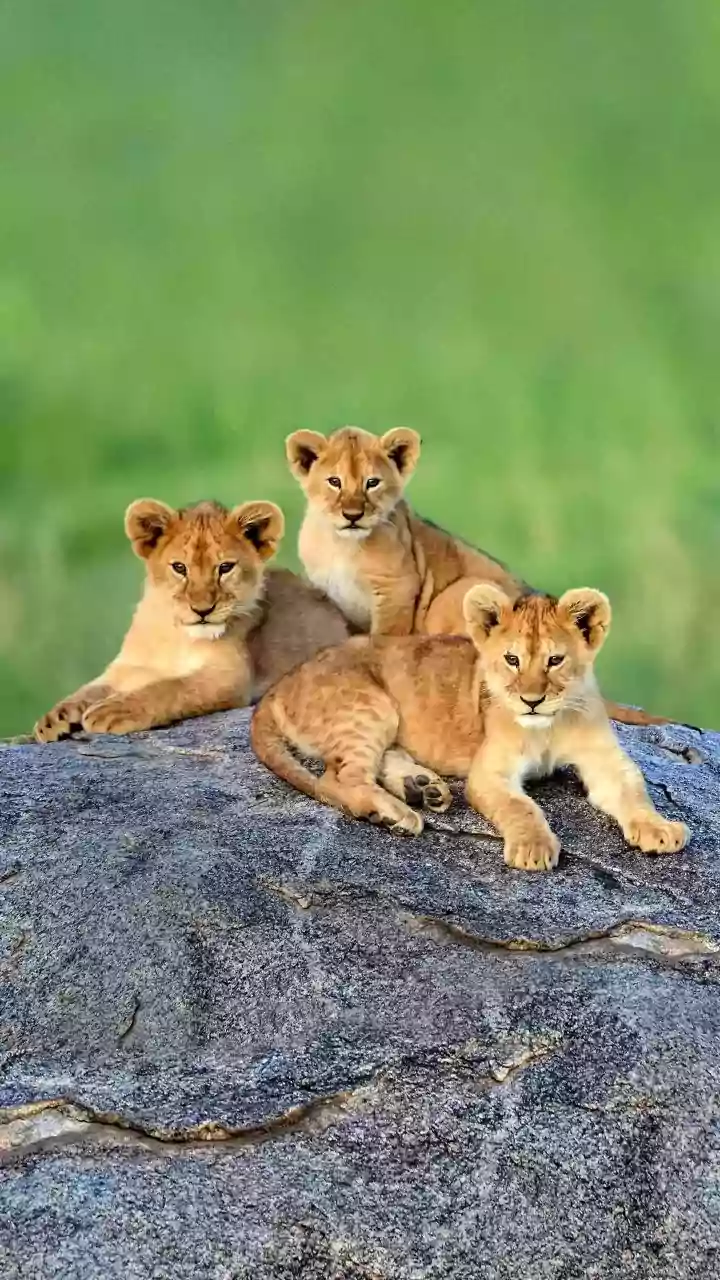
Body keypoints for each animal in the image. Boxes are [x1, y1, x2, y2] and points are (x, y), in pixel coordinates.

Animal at [34, 498, 350, 742]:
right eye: (179, 567)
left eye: (225, 568)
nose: (203, 610)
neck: (176, 636)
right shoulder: (128, 668)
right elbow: (90, 689)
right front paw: (53, 719)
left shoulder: (230, 677)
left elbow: (171, 687)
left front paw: (115, 711)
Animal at [251, 584, 688, 871]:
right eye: (511, 660)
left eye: (555, 661)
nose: (531, 700)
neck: (546, 726)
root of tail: (281, 685)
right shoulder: (489, 772)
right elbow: (521, 807)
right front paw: (533, 849)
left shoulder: (604, 761)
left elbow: (634, 790)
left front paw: (659, 829)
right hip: (369, 707)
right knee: (337, 778)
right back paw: (395, 813)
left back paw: (421, 788)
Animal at [285, 425, 668, 727]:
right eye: (334, 482)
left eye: (372, 483)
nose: (352, 515)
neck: (340, 544)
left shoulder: (397, 590)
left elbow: (385, 636)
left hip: (455, 594)